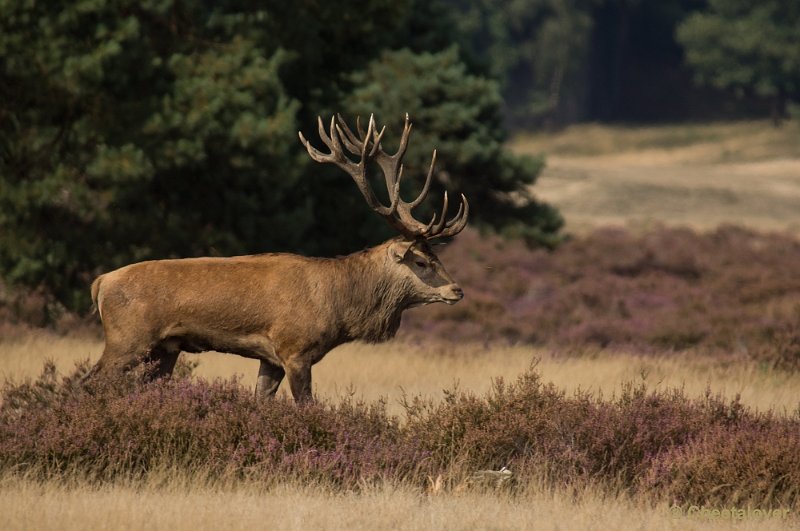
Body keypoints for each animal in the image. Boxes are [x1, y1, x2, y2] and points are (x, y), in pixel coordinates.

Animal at [89, 113, 468, 404]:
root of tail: (101, 283)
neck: (339, 306)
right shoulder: (295, 349)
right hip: (127, 339)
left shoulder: (270, 358)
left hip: (165, 349)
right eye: (421, 261)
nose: (457, 290)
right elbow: (307, 405)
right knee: (91, 381)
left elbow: (261, 401)